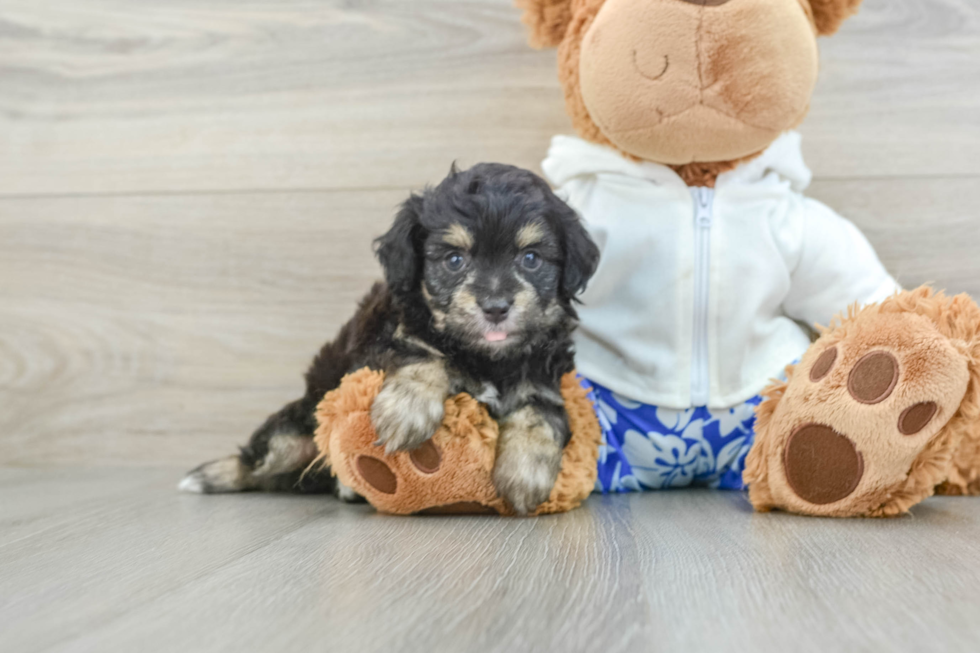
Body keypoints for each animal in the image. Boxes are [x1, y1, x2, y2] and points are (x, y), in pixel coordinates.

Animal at [180, 163, 600, 516]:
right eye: (454, 260)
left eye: (531, 258)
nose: (496, 307)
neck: (485, 356)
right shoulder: (377, 345)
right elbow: (422, 355)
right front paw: (406, 412)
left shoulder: (546, 378)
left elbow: (542, 414)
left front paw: (525, 475)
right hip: (294, 430)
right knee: (258, 461)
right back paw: (208, 476)